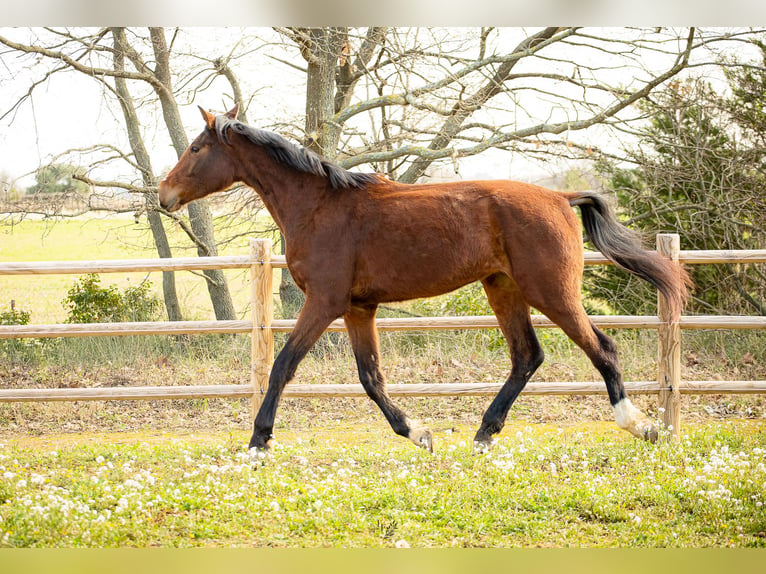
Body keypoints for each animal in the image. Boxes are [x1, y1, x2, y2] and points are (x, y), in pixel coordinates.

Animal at [159, 107, 692, 454]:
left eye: (196, 148)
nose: (164, 194)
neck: (318, 206)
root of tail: (561, 196)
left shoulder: (324, 302)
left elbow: (283, 366)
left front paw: (258, 443)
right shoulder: (357, 307)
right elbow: (371, 377)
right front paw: (419, 433)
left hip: (552, 292)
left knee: (601, 348)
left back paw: (639, 425)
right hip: (503, 288)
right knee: (527, 356)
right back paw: (483, 434)